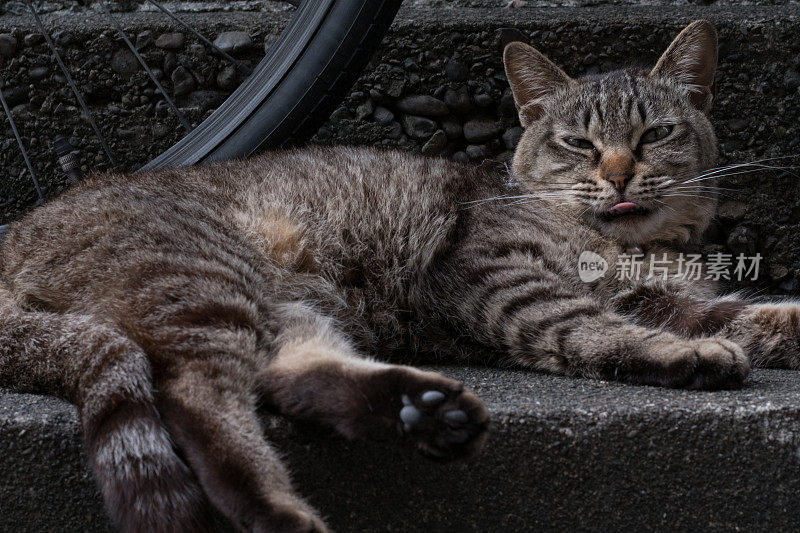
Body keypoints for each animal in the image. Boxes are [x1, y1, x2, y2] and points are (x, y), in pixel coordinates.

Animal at [1, 19, 800, 532]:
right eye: (578, 142)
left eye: (655, 133)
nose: (619, 172)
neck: (638, 249)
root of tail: (15, 236)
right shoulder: (497, 277)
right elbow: (592, 328)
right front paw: (688, 355)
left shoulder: (661, 294)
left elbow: (745, 312)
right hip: (204, 282)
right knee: (197, 397)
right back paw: (282, 513)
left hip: (285, 308)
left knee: (287, 376)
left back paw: (427, 411)